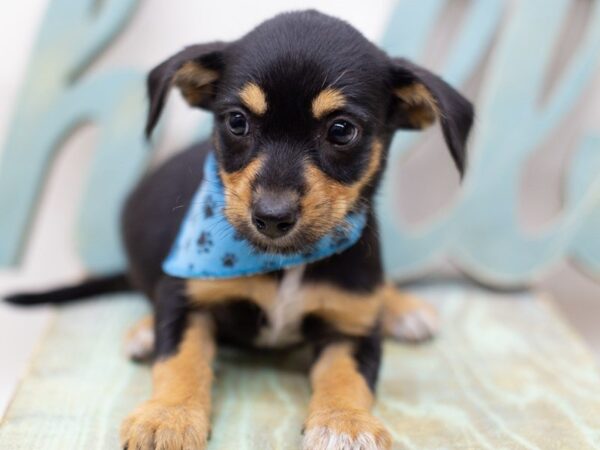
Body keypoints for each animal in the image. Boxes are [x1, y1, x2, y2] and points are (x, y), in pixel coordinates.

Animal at [5, 10, 474, 450]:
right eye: (236, 121)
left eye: (342, 130)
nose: (271, 217)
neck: (285, 262)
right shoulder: (186, 299)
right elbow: (180, 359)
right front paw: (167, 417)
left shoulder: (352, 323)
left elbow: (348, 377)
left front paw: (345, 423)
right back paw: (144, 331)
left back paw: (402, 307)